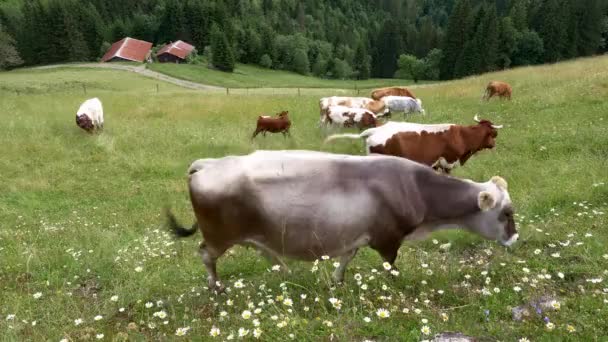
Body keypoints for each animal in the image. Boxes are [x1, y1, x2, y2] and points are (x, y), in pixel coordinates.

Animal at [165, 150, 516, 292]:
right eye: (506, 213)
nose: (514, 238)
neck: (413, 185)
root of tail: (208, 164)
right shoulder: (388, 239)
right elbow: (391, 267)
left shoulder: (358, 234)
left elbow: (346, 258)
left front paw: (337, 281)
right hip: (218, 235)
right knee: (205, 255)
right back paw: (216, 286)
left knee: (265, 251)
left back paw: (285, 272)